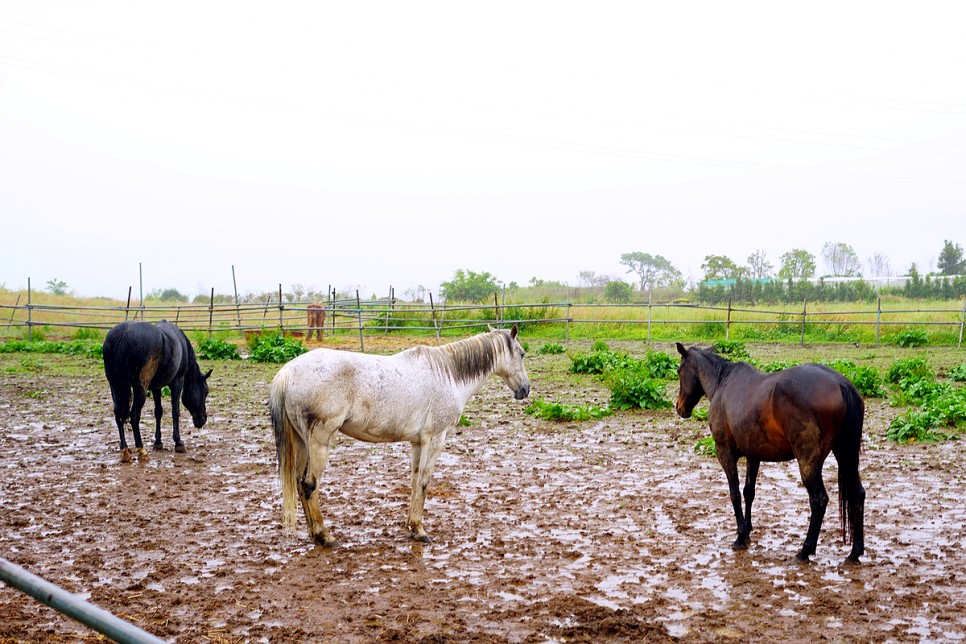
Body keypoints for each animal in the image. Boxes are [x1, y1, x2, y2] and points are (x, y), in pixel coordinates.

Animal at [102, 320, 212, 460]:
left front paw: (158, 442)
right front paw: (178, 442)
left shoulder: (156, 387)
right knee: (134, 415)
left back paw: (125, 451)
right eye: (206, 392)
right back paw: (141, 449)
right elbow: (175, 411)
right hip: (140, 389)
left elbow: (158, 411)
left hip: (115, 387)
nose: (202, 420)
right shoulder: (177, 382)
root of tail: (123, 334)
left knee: (118, 416)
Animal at [270, 328, 528, 544]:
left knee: (299, 483)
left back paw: (314, 533)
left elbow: (414, 482)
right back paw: (325, 536)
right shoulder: (435, 440)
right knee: (309, 484)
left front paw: (412, 527)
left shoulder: (417, 443)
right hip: (319, 444)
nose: (525, 390)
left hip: (303, 443)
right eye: (522, 354)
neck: (448, 376)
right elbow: (424, 482)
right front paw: (421, 531)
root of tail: (288, 372)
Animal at [672, 342, 868, 564]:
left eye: (679, 371)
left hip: (808, 461)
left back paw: (805, 550)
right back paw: (855, 552)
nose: (679, 408)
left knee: (819, 500)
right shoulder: (753, 455)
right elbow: (748, 492)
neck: (723, 383)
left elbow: (734, 494)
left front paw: (740, 537)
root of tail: (840, 383)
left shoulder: (725, 453)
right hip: (845, 455)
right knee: (857, 493)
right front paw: (748, 531)